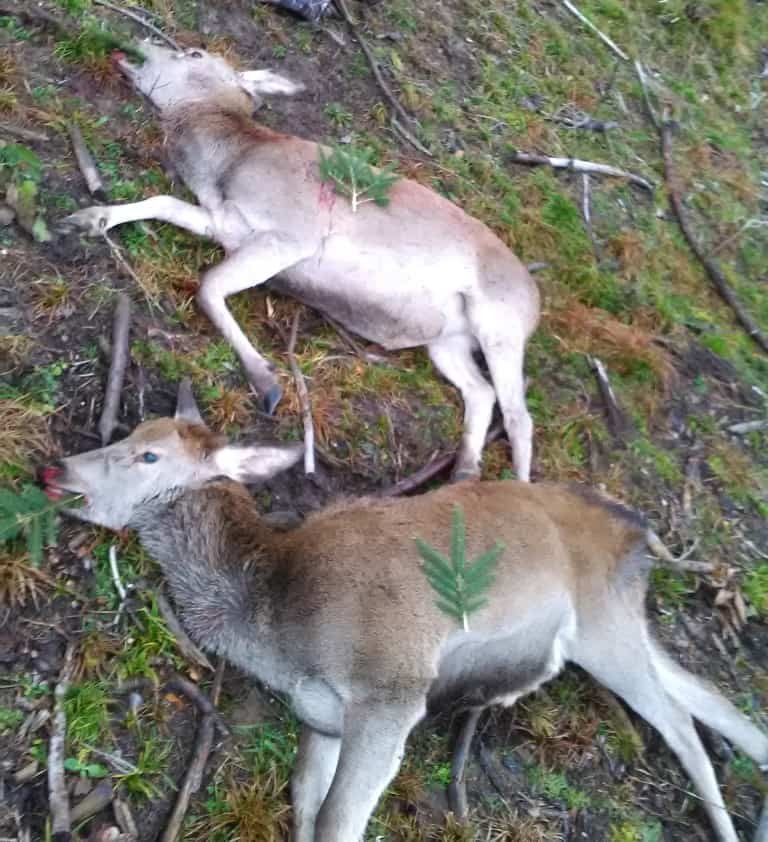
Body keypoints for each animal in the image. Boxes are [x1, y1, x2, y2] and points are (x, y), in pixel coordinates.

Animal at [41, 380, 768, 842]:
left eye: (148, 454)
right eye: (135, 430)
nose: (56, 471)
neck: (277, 625)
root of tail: (642, 530)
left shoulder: (391, 687)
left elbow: (339, 821)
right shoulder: (323, 714)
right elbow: (304, 806)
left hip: (602, 628)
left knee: (679, 721)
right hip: (621, 624)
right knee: (706, 701)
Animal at [61, 40, 540, 482]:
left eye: (195, 53)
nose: (140, 44)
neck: (227, 166)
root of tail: (535, 300)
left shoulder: (293, 235)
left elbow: (208, 284)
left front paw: (267, 382)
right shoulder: (224, 223)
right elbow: (163, 203)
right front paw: (88, 218)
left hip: (501, 323)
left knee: (520, 414)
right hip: (447, 341)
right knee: (482, 392)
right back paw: (464, 469)